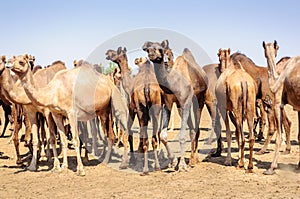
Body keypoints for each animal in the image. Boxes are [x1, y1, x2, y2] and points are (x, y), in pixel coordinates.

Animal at [143, 39, 209, 170]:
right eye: (148, 49)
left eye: (160, 49)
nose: (152, 53)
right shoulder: (168, 104)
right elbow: (163, 135)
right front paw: (173, 161)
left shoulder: (186, 101)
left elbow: (182, 136)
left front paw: (182, 165)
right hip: (180, 107)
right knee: (192, 130)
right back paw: (191, 159)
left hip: (200, 100)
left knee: (196, 129)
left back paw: (194, 160)